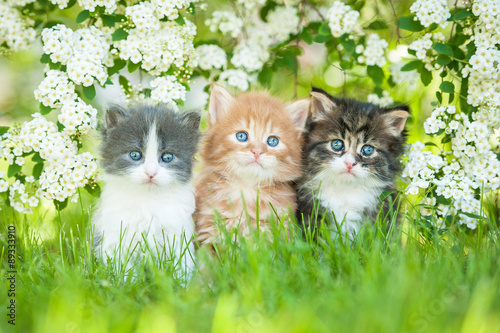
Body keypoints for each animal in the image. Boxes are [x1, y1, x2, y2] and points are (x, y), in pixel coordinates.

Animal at [91, 104, 200, 278]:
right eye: (135, 155)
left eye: (167, 157)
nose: (151, 173)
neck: (147, 199)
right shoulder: (116, 235)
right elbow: (122, 268)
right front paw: (125, 282)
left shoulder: (178, 232)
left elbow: (181, 264)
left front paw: (181, 283)